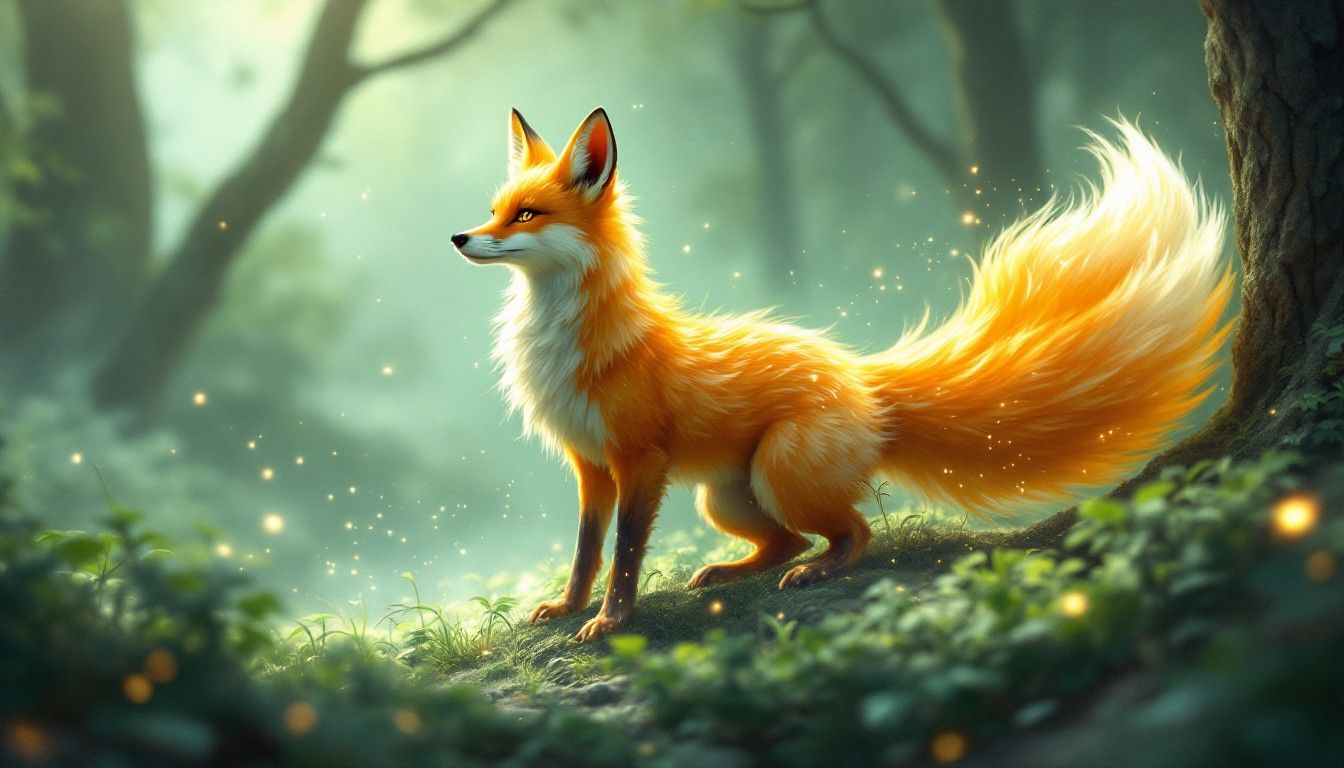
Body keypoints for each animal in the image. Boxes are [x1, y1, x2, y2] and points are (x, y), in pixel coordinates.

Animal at [451, 107, 1232, 642]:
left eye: (526, 214)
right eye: (494, 211)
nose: (459, 237)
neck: (569, 339)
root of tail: (863, 379)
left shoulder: (640, 461)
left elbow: (623, 554)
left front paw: (611, 622)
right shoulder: (591, 465)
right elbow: (586, 550)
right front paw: (570, 607)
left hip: (777, 475)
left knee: (852, 534)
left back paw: (819, 573)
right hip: (725, 498)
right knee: (789, 541)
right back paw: (729, 573)